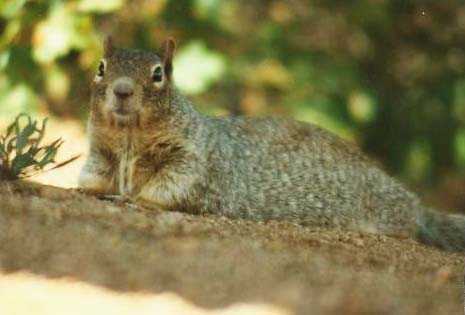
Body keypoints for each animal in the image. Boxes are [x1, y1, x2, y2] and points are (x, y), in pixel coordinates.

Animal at [78, 37, 462, 253]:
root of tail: (414, 204)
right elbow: (94, 176)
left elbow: (171, 186)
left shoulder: (193, 160)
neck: (130, 137)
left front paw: (135, 199)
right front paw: (89, 190)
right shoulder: (101, 152)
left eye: (158, 74)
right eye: (101, 67)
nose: (122, 90)